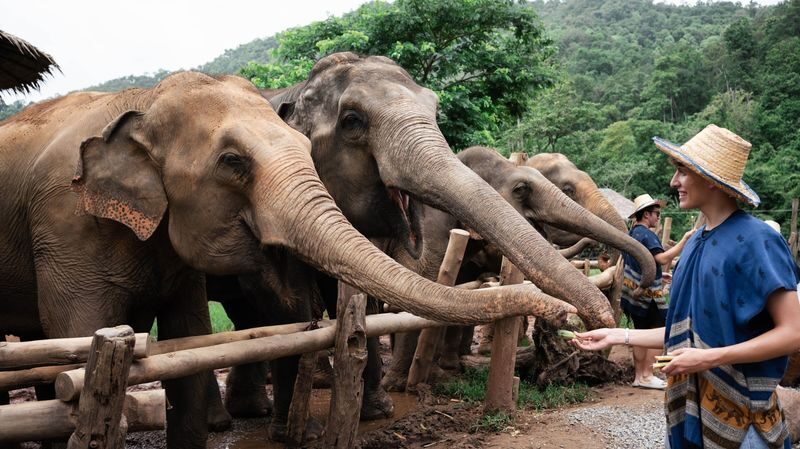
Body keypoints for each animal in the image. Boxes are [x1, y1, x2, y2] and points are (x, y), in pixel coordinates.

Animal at [0, 72, 564, 449]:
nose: (564, 311)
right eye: (232, 162)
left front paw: (368, 413)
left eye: (304, 146)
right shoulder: (66, 225)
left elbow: (188, 342)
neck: (142, 102)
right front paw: (305, 432)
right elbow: (80, 339)